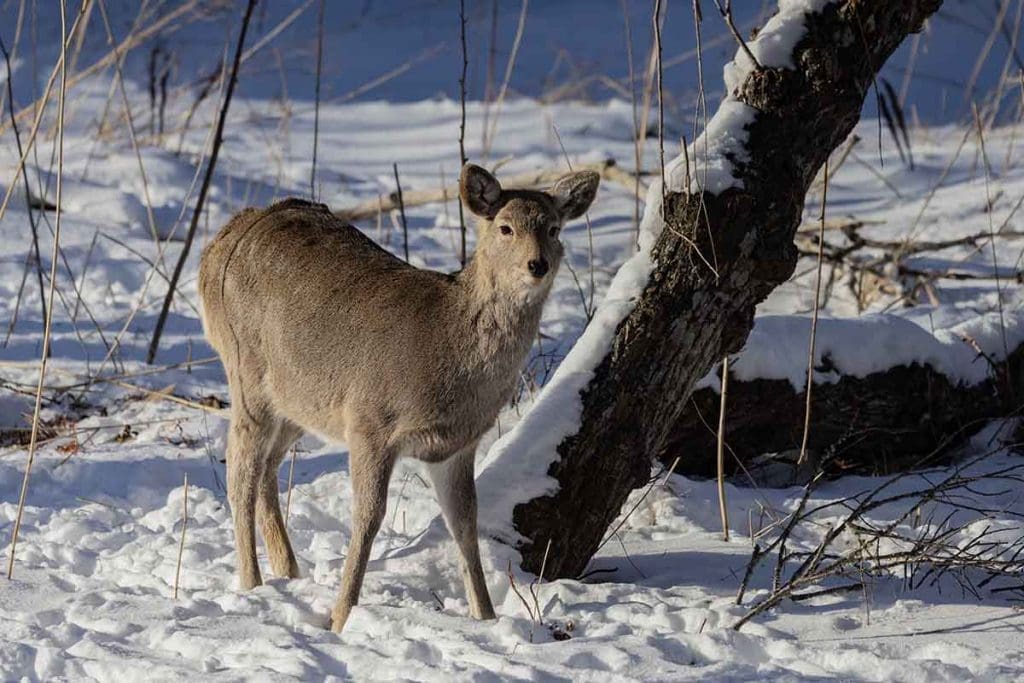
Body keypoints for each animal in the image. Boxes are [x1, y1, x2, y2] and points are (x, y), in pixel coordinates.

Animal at [198, 163, 599, 632]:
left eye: (554, 228)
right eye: (505, 228)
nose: (538, 265)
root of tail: (219, 240)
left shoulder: (457, 445)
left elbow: (465, 522)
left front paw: (485, 616)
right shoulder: (370, 421)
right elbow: (368, 518)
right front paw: (340, 619)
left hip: (301, 399)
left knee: (267, 469)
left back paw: (288, 572)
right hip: (245, 371)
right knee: (240, 472)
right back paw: (252, 583)